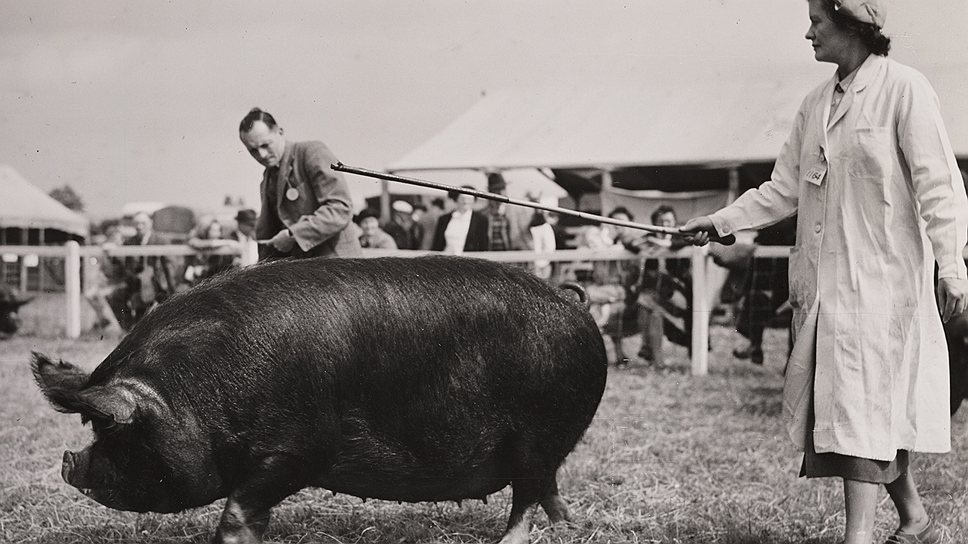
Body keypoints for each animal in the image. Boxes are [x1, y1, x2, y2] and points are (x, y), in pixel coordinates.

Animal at [31, 255, 607, 544]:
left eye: (112, 428)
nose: (67, 461)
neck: (199, 390)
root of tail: (572, 302)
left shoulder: (300, 449)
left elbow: (237, 512)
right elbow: (251, 515)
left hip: (538, 432)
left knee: (527, 496)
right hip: (544, 441)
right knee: (548, 487)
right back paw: (574, 527)